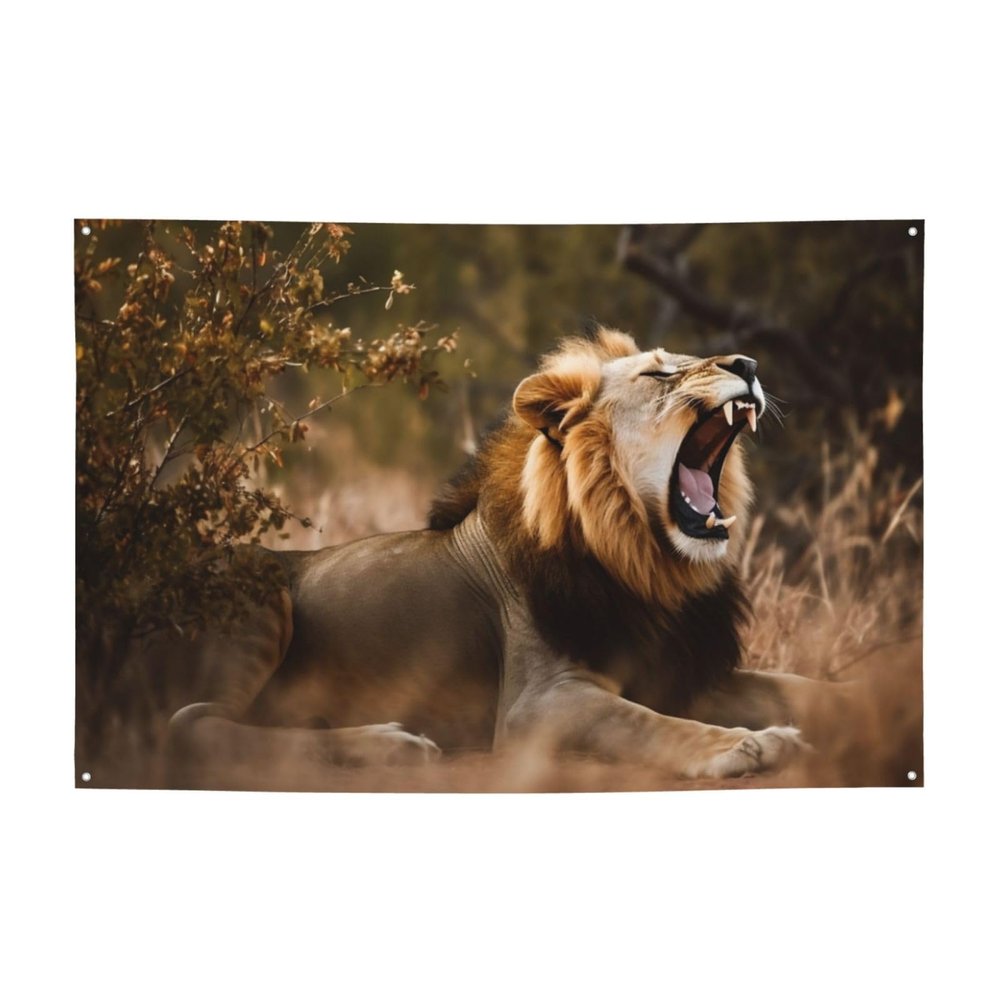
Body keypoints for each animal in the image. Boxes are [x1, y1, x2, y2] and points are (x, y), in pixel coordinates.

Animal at [117, 328, 853, 789]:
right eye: (658, 371)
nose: (749, 365)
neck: (648, 563)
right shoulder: (536, 705)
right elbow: (645, 722)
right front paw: (743, 743)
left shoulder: (681, 668)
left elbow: (794, 685)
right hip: (253, 583)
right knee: (189, 726)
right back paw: (391, 744)